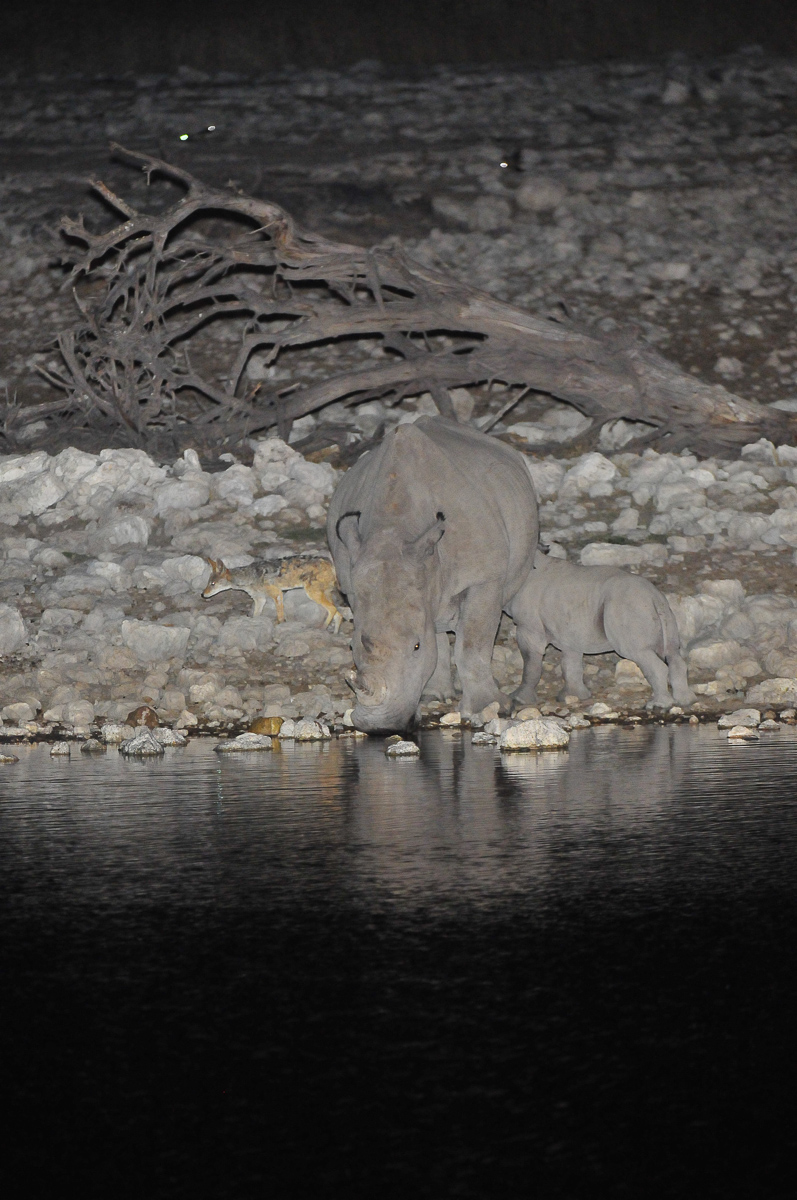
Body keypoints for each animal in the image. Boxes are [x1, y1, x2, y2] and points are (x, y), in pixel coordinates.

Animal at [327, 416, 539, 733]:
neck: (394, 529)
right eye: (351, 646)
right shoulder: (353, 582)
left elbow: (472, 645)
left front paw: (491, 708)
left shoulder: (484, 579)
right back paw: (433, 695)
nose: (380, 727)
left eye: (415, 647)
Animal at [505, 547, 695, 708]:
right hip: (665, 611)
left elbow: (531, 661)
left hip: (627, 606)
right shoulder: (570, 634)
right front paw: (574, 696)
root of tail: (654, 597)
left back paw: (659, 705)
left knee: (638, 652)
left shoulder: (529, 626)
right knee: (672, 652)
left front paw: (519, 699)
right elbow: (570, 665)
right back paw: (686, 701)